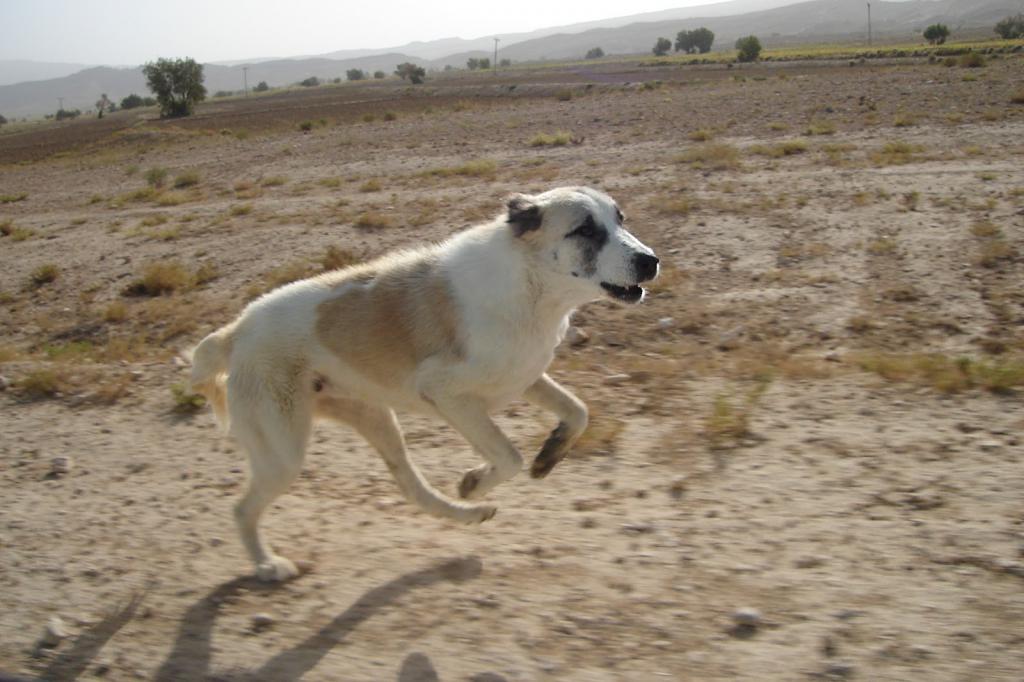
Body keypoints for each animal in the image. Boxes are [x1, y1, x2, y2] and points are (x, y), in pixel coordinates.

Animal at [189, 186, 659, 577]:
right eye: (585, 229)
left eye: (620, 218)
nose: (651, 261)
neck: (529, 286)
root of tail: (235, 331)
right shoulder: (449, 394)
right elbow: (509, 457)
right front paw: (475, 481)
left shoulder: (525, 378)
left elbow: (578, 413)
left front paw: (549, 455)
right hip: (283, 453)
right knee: (242, 510)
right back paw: (267, 565)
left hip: (376, 420)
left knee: (411, 487)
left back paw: (466, 515)